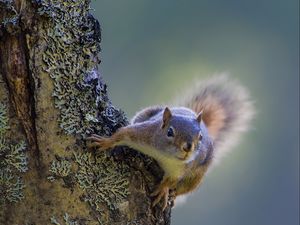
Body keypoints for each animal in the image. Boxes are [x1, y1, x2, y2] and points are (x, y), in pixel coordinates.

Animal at [86, 74, 253, 210]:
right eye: (170, 132)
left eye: (200, 137)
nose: (188, 147)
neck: (165, 156)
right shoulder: (144, 133)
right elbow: (123, 133)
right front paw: (105, 142)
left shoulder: (180, 169)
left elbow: (171, 180)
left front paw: (163, 190)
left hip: (196, 177)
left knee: (183, 189)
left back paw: (173, 195)